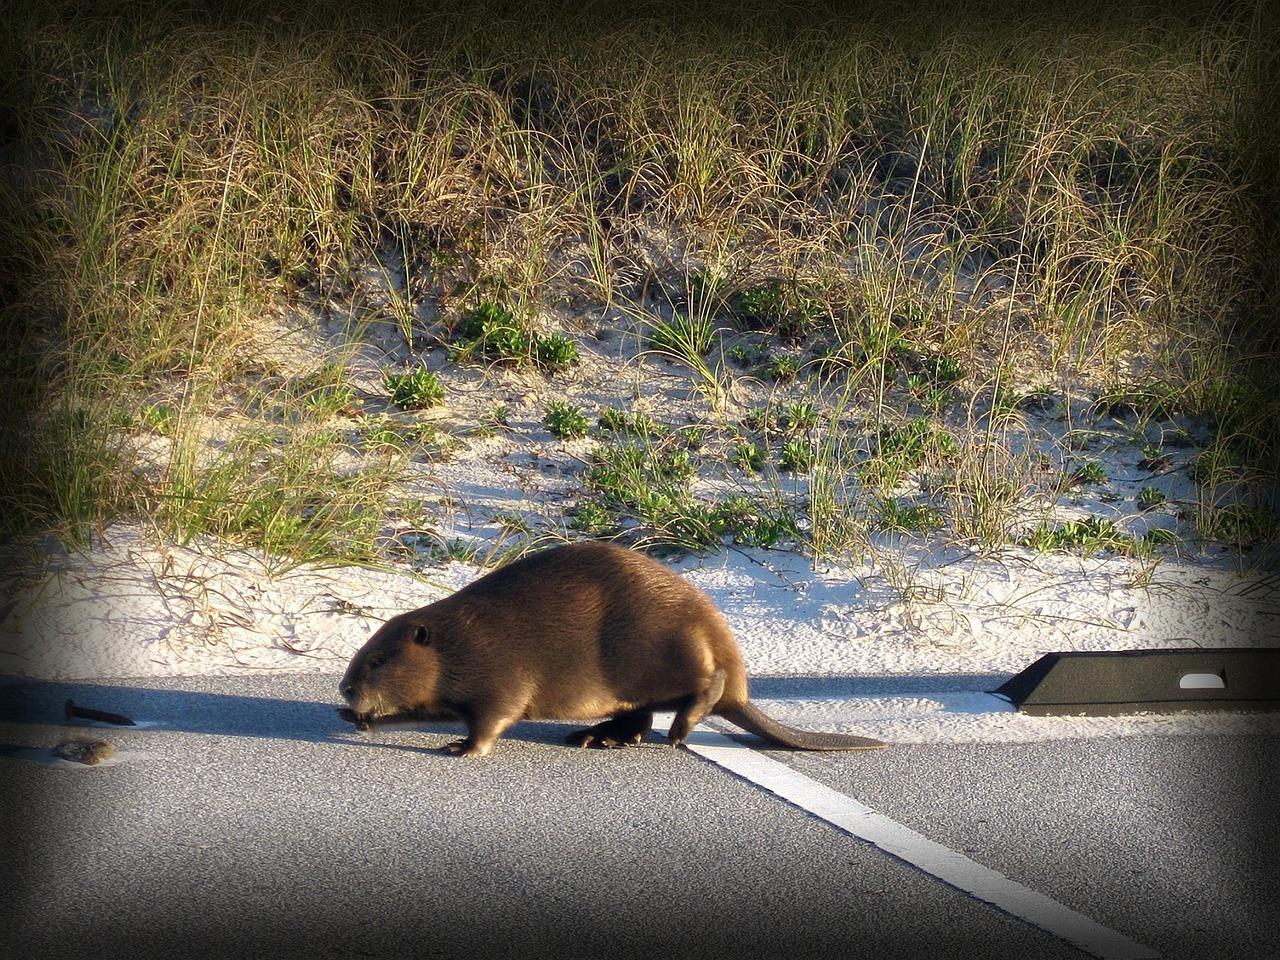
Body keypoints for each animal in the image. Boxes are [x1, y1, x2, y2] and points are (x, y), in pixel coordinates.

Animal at [335, 542, 885, 757]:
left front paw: (461, 747)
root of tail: (744, 698)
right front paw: (354, 719)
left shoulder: (499, 670)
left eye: (377, 660)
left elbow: (494, 716)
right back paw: (597, 736)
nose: (345, 688)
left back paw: (677, 732)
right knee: (639, 714)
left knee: (706, 684)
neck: (457, 638)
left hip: (669, 649)